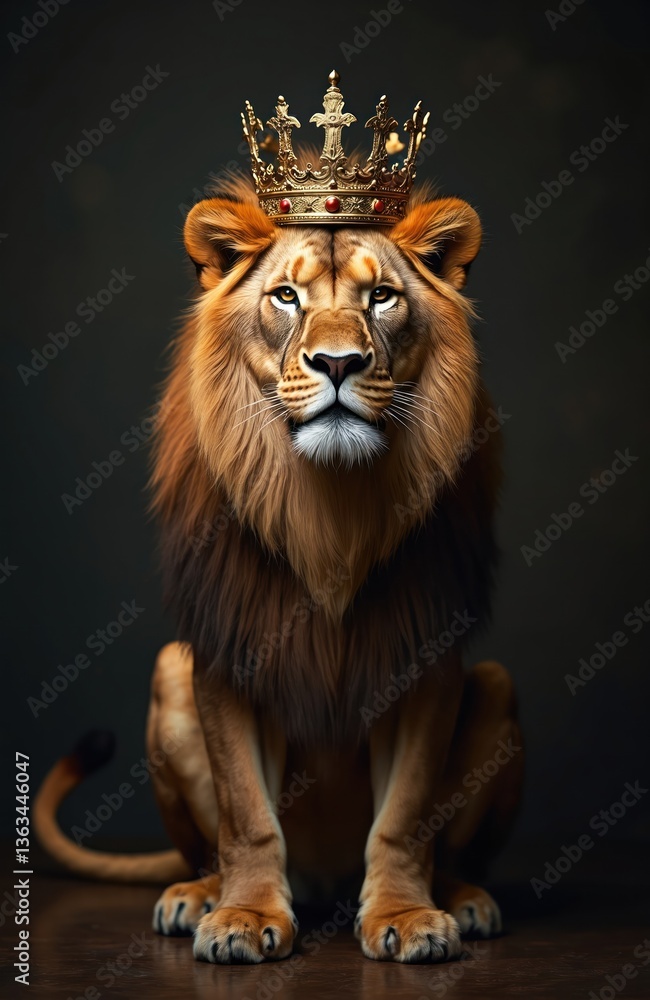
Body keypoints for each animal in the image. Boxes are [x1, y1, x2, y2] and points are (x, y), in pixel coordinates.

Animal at [34, 172, 524, 965]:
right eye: (286, 297)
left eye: (382, 297)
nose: (338, 364)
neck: (329, 506)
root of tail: (326, 882)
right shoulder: (228, 652)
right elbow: (248, 815)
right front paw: (243, 917)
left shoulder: (425, 658)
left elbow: (405, 815)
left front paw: (406, 916)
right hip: (169, 678)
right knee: (209, 849)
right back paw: (197, 896)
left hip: (497, 688)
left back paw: (464, 899)